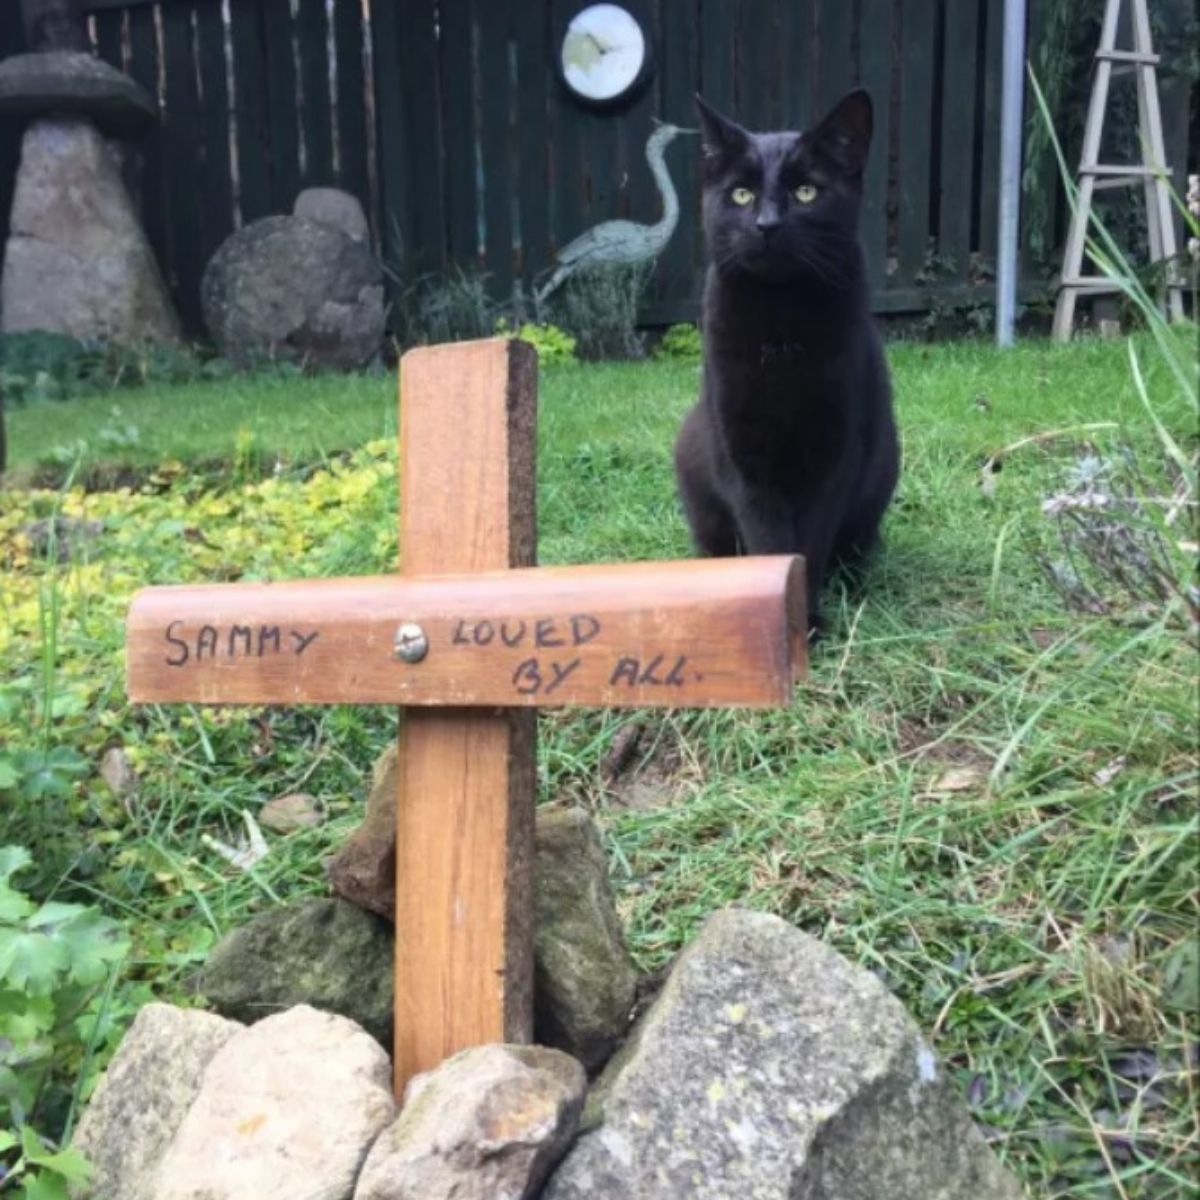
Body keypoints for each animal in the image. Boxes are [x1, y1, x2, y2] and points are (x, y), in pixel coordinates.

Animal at [676, 88, 902, 633]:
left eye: (806, 192)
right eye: (741, 195)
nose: (767, 225)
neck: (780, 332)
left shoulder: (834, 453)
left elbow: (810, 545)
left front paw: (808, 618)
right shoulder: (743, 456)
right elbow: (770, 542)